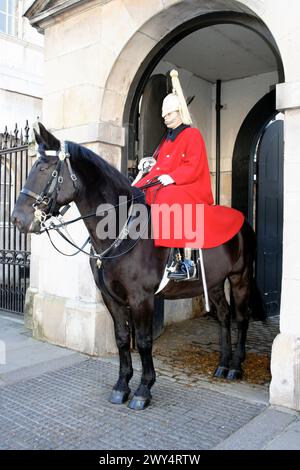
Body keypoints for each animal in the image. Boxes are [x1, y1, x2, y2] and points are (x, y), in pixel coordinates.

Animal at [11, 123, 264, 410]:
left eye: (45, 168)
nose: (17, 219)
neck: (119, 229)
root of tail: (243, 222)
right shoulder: (111, 297)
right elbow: (122, 338)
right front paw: (122, 385)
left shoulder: (141, 298)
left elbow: (143, 341)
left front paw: (144, 389)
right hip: (213, 282)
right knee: (223, 315)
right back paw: (222, 364)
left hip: (240, 278)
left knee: (241, 317)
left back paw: (235, 367)